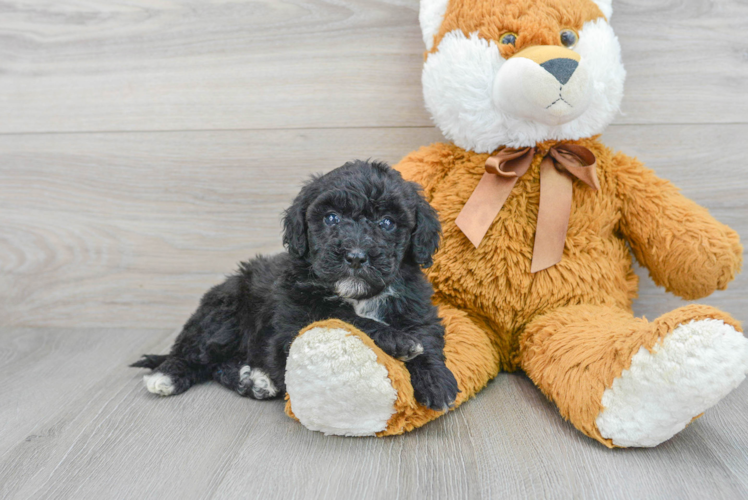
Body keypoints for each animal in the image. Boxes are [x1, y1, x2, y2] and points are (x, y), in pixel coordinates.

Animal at [134, 159, 458, 410]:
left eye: (387, 222)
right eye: (331, 218)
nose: (355, 256)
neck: (359, 295)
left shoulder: (417, 309)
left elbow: (427, 339)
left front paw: (437, 381)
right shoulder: (291, 328)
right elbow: (345, 318)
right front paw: (399, 341)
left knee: (217, 365)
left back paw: (253, 380)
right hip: (224, 315)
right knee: (196, 354)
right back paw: (168, 376)